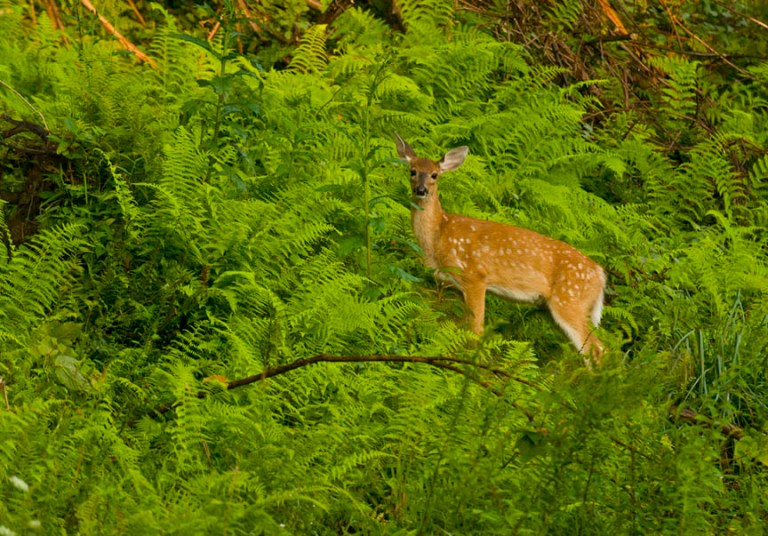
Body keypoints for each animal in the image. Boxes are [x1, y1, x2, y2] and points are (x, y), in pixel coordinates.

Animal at [395, 134, 606, 363]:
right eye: (412, 171)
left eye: (434, 175)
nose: (421, 190)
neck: (438, 236)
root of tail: (600, 274)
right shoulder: (455, 286)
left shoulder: (475, 276)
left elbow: (476, 330)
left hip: (570, 299)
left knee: (598, 349)